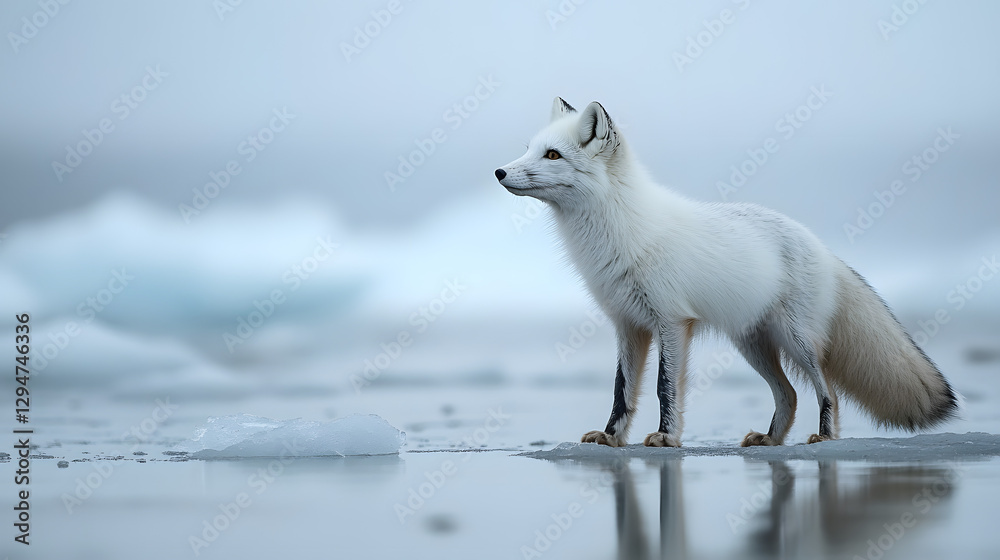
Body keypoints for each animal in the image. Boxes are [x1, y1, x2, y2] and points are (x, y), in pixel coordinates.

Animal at [494, 97, 958, 447]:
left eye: (553, 155)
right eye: (530, 149)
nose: (499, 171)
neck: (619, 232)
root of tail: (823, 248)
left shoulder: (671, 321)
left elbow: (664, 387)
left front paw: (666, 437)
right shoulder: (627, 325)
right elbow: (621, 391)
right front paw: (611, 438)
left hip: (796, 340)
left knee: (827, 391)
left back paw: (824, 437)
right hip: (752, 344)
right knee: (789, 394)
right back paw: (771, 441)